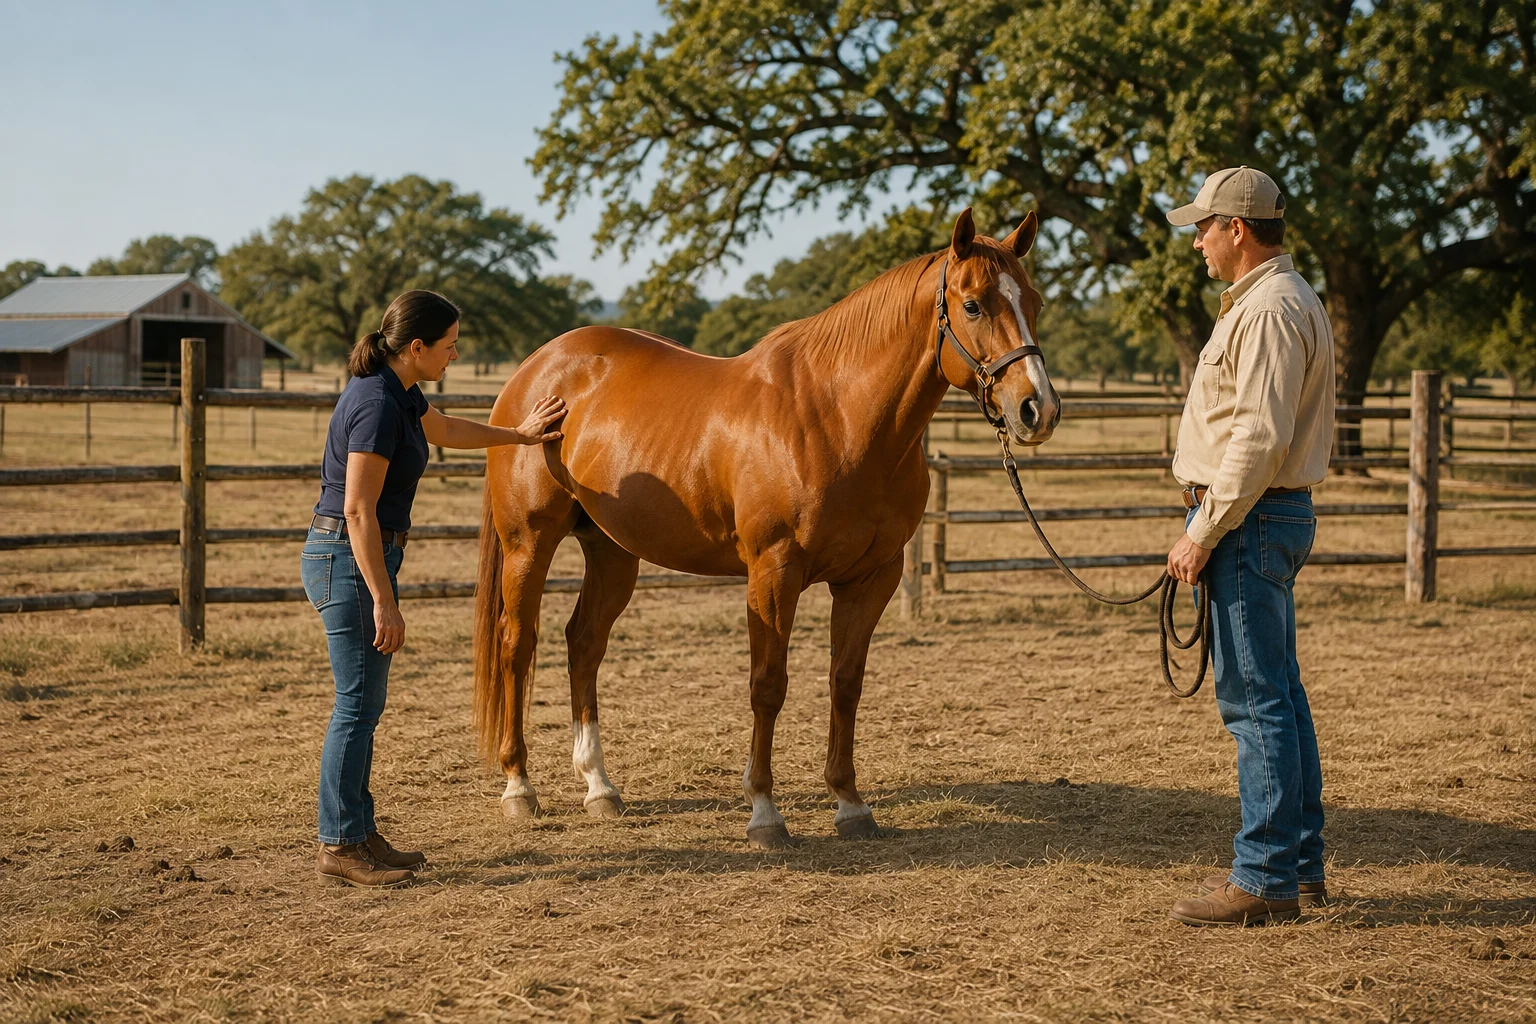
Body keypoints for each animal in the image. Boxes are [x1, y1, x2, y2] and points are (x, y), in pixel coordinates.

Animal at [472, 208, 1060, 849]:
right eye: (973, 304)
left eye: (1033, 300)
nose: (1038, 409)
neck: (838, 417)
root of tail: (535, 370)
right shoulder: (774, 574)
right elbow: (768, 685)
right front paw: (764, 813)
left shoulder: (871, 578)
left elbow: (845, 682)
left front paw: (850, 804)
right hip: (529, 543)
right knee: (517, 643)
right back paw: (519, 788)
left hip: (612, 551)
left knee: (583, 644)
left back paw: (600, 788)